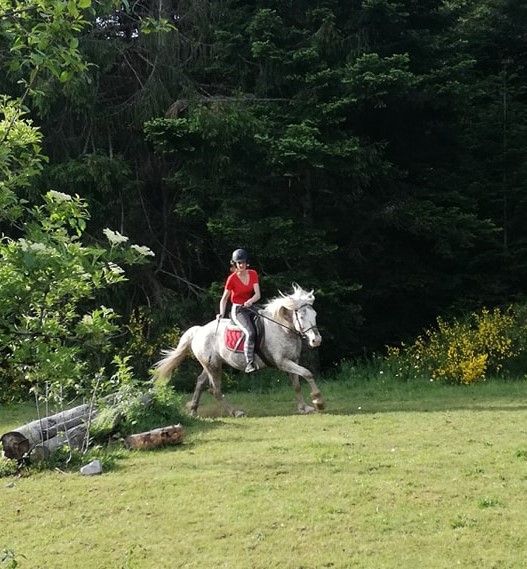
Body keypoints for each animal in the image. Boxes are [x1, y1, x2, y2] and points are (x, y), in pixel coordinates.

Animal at [154, 284, 326, 418]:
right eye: (301, 317)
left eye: (315, 315)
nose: (316, 340)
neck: (282, 328)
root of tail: (199, 330)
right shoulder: (283, 362)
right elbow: (307, 373)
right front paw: (318, 401)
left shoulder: (292, 360)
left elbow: (297, 384)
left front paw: (304, 408)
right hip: (213, 366)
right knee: (215, 390)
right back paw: (235, 412)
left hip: (211, 364)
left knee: (201, 383)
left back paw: (193, 411)